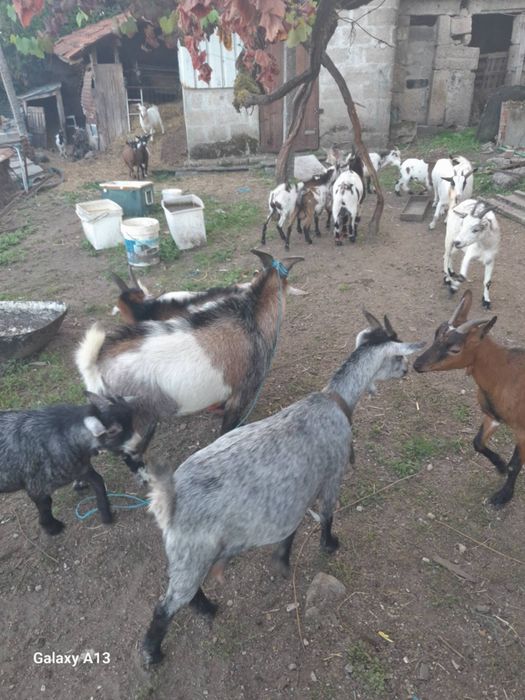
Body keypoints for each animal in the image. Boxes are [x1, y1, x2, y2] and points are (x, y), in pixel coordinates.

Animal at [0, 394, 153, 535]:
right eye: (114, 431)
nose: (138, 446)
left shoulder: (82, 468)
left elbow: (98, 481)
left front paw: (106, 514)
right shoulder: (36, 486)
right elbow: (45, 506)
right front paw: (52, 528)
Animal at [140, 312, 424, 665]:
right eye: (398, 357)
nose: (407, 370)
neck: (335, 400)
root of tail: (167, 499)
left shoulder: (295, 493)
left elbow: (291, 529)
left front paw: (283, 561)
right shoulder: (332, 476)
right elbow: (327, 516)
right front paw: (330, 545)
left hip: (192, 554)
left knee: (187, 594)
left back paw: (207, 608)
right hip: (191, 552)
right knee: (166, 606)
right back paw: (154, 653)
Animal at [414, 289, 525, 507]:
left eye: (455, 349)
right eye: (436, 333)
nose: (417, 364)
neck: (507, 375)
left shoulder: (523, 430)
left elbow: (515, 465)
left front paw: (503, 496)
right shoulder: (492, 415)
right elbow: (477, 443)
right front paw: (499, 465)